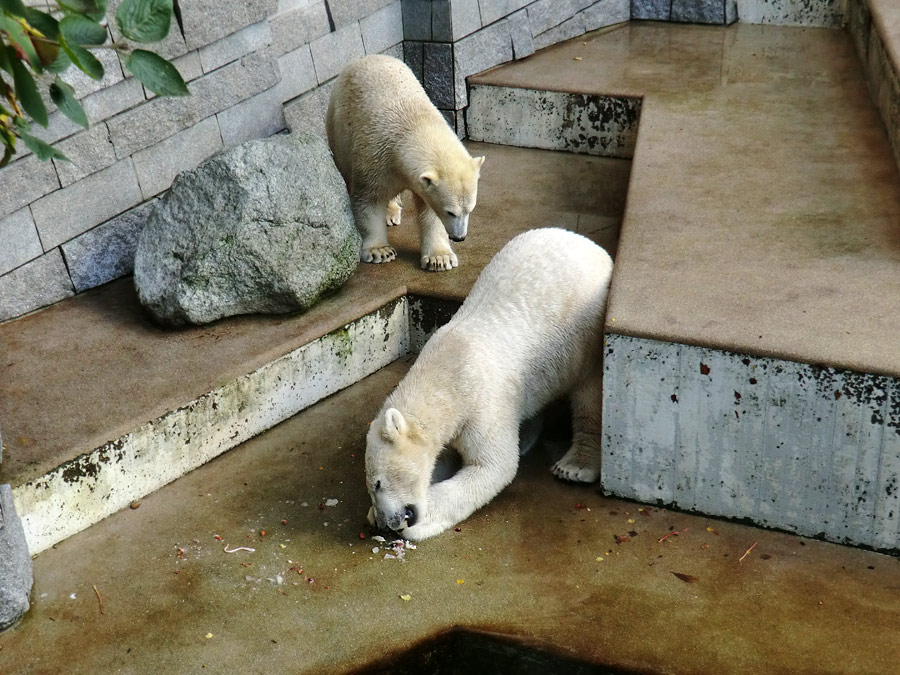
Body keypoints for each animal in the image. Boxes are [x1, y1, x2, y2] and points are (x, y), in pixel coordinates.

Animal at [326, 54, 486, 272]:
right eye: (450, 212)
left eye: (470, 209)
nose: (459, 237)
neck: (414, 123)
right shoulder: (373, 157)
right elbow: (368, 200)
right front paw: (380, 251)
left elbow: (429, 210)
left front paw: (440, 258)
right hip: (339, 126)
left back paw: (392, 212)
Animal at [364, 230, 612, 540]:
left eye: (378, 483)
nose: (390, 522)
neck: (447, 375)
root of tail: (593, 246)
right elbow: (442, 456)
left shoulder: (482, 400)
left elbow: (492, 465)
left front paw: (422, 521)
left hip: (587, 334)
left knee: (589, 395)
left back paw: (575, 465)